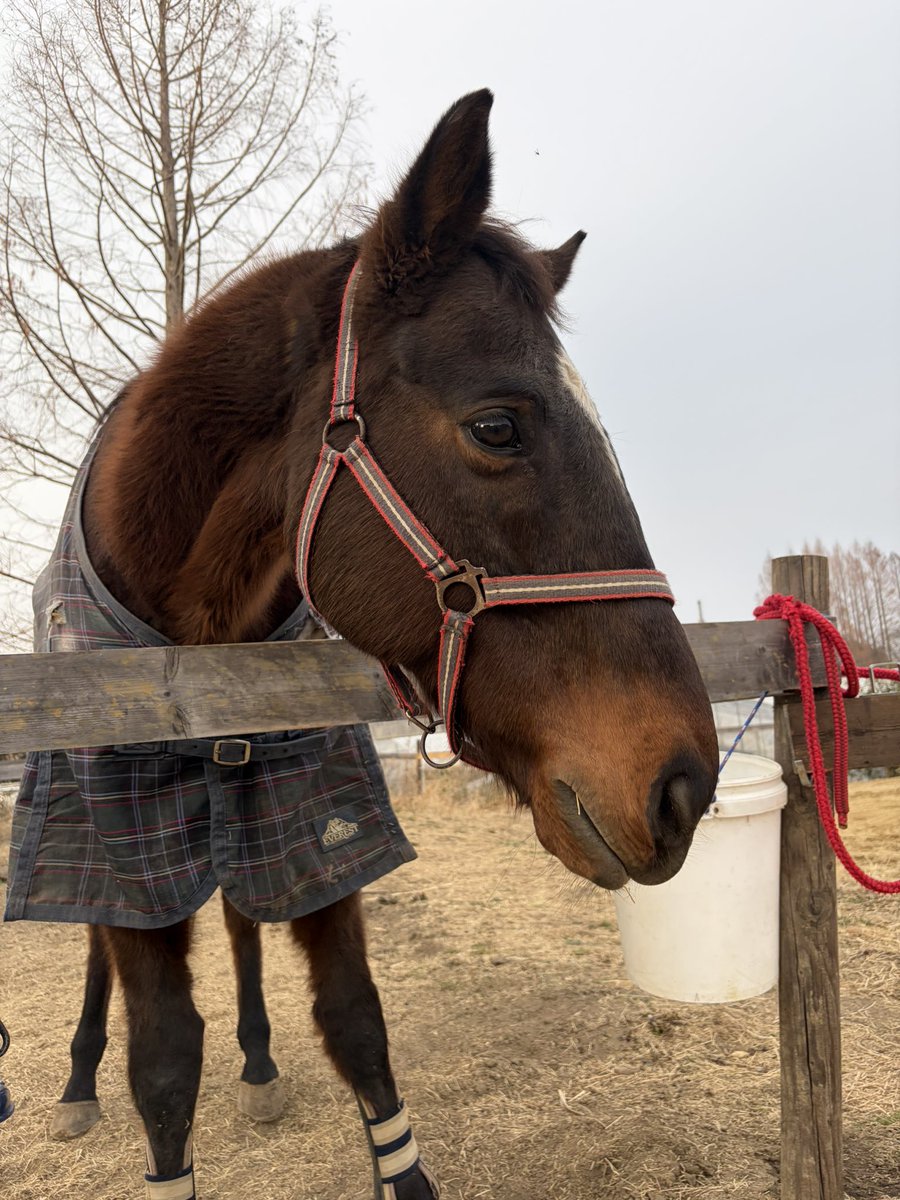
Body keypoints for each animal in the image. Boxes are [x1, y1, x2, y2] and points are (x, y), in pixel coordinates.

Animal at [7, 89, 718, 1198]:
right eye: (499, 426)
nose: (683, 787)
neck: (197, 660)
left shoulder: (317, 818)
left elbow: (356, 1025)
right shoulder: (131, 848)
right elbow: (162, 1063)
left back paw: (259, 1065)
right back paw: (81, 1082)